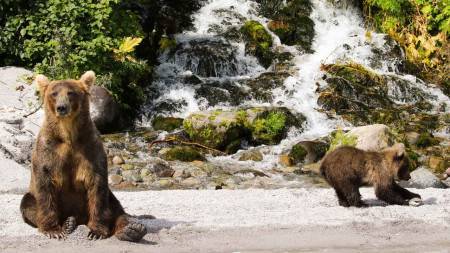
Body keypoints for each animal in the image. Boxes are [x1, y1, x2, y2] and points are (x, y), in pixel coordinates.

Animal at [19, 71, 146, 241]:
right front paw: (53, 230)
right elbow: (45, 185)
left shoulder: (89, 147)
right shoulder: (49, 149)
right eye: (54, 93)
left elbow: (97, 186)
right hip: (32, 197)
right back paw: (68, 224)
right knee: (28, 204)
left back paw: (132, 229)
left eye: (70, 93)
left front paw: (96, 231)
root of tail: (80, 219)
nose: (62, 107)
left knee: (115, 207)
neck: (68, 134)